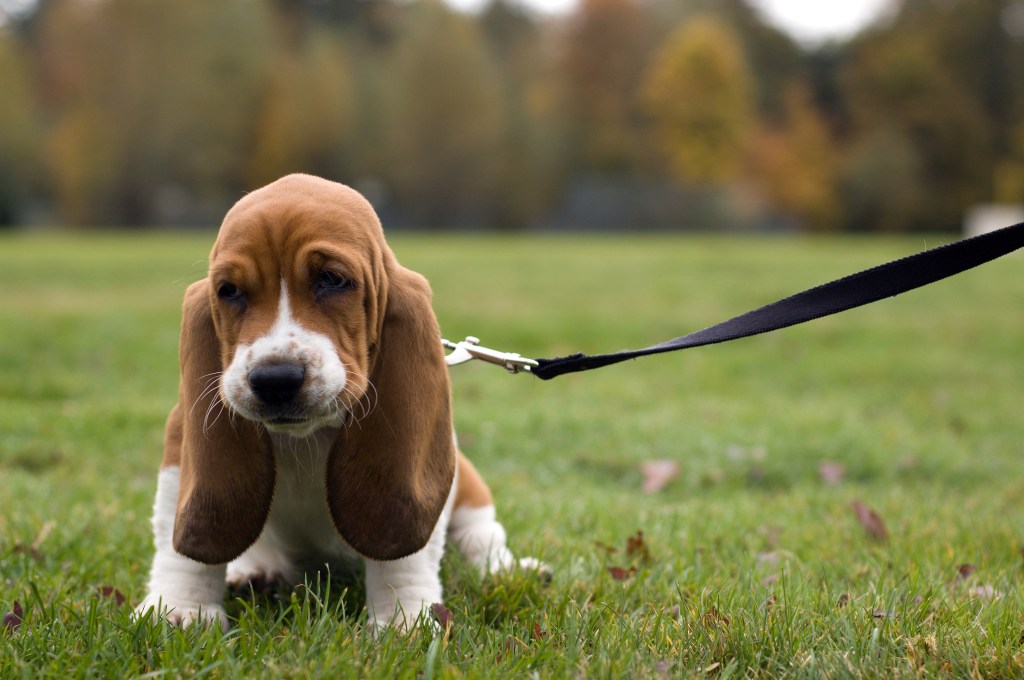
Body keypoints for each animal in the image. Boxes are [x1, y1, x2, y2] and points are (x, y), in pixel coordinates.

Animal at [134, 173, 536, 630]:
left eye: (332, 279)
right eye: (229, 290)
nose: (275, 380)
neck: (306, 438)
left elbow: (406, 557)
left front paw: (403, 619)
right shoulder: (180, 444)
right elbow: (179, 547)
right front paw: (179, 610)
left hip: (469, 490)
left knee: (483, 537)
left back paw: (509, 570)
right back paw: (254, 571)